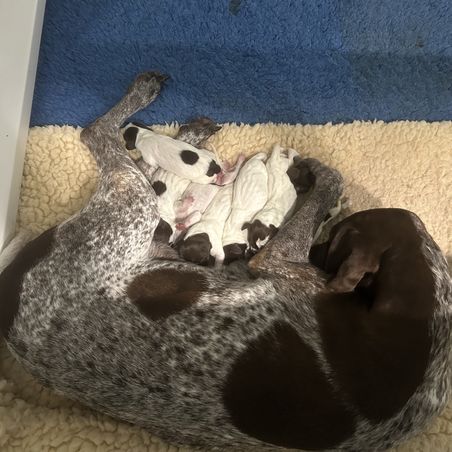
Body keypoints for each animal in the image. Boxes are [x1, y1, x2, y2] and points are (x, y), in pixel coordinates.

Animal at [0, 73, 450, 451]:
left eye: (339, 239)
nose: (319, 253)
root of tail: (12, 294)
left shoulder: (278, 261)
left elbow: (331, 181)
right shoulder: (280, 261)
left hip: (133, 208)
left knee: (106, 141)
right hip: (135, 212)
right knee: (108, 140)